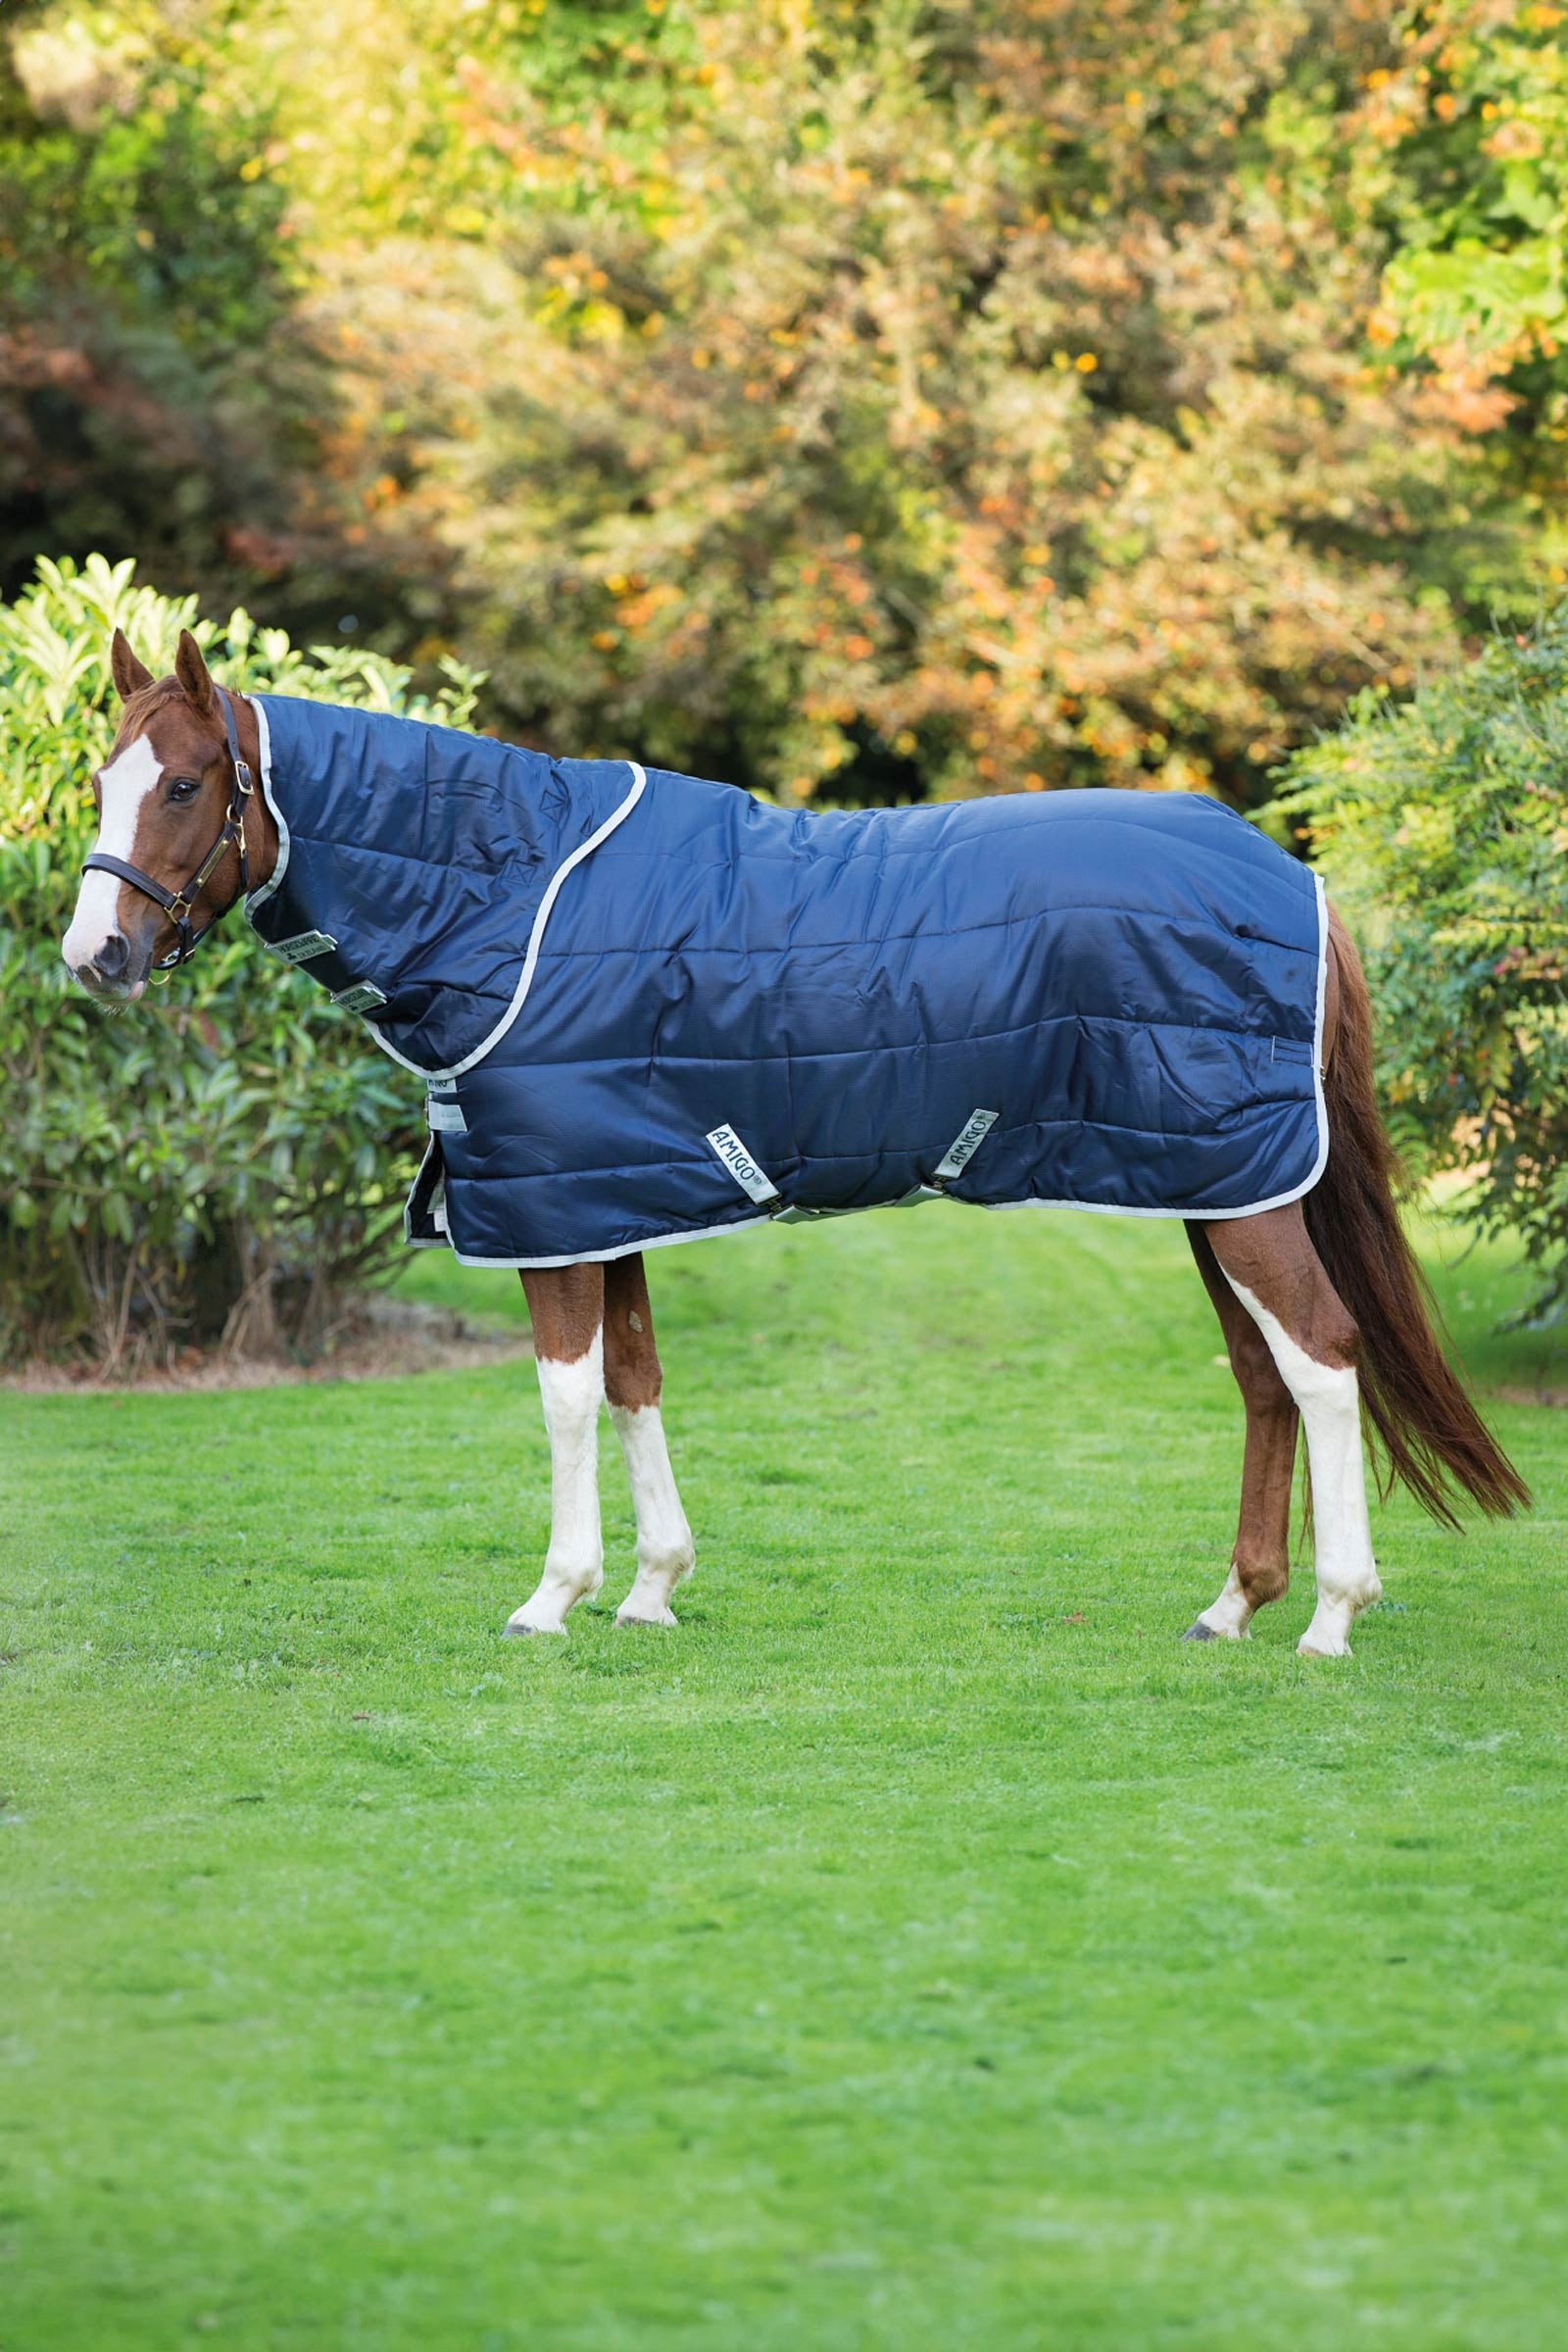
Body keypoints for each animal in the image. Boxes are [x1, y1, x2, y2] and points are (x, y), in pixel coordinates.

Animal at [62, 628, 1529, 1655]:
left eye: (184, 785)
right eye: (97, 781)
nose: (94, 957)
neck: (507, 894)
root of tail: (1294, 877)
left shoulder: (553, 1210)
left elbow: (565, 1396)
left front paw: (554, 1597)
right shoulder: (613, 1198)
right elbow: (637, 1381)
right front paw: (650, 1592)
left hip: (1242, 1197)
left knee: (1323, 1360)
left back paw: (1332, 1617)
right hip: (1203, 1185)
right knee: (1266, 1376)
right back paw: (1234, 1608)